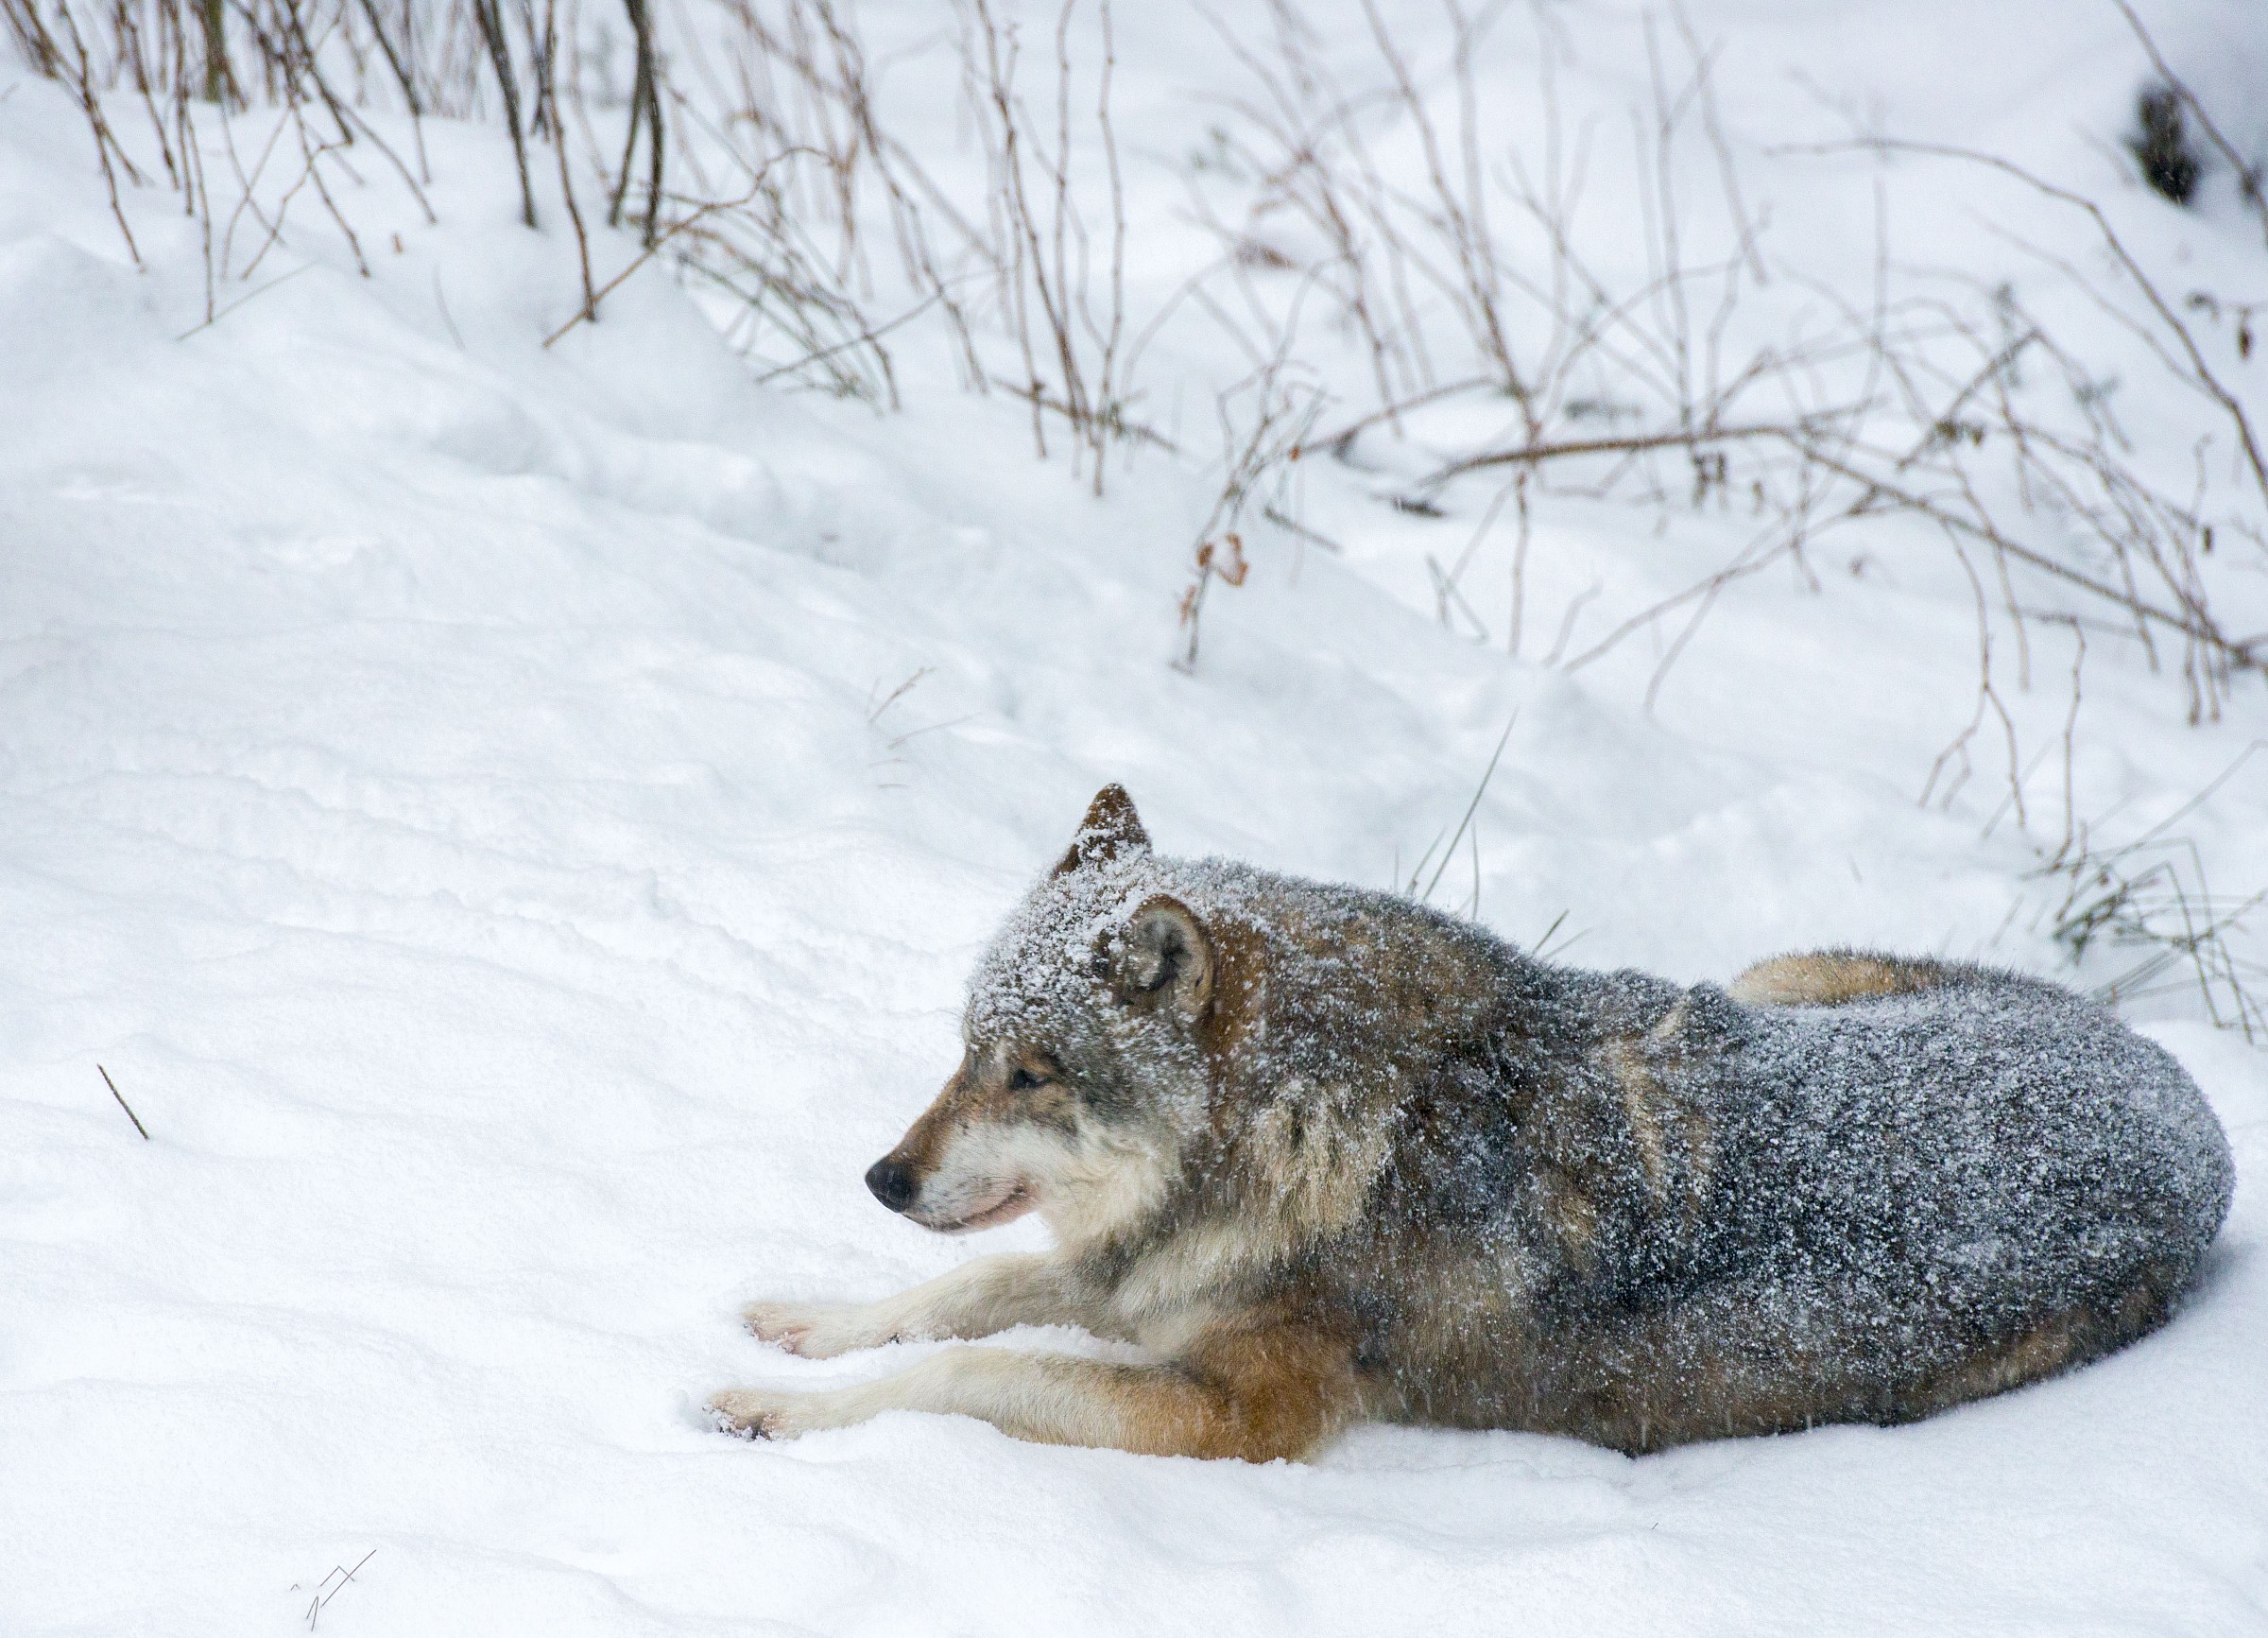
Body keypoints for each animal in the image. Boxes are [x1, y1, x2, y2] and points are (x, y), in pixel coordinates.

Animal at [710, 786, 2234, 1460]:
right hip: (1766, 977)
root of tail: (2198, 1113)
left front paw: (780, 1411)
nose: (882, 1176)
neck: (1324, 1133)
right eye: (965, 1052)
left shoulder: (1237, 1413)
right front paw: (807, 1322)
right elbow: (966, 1292)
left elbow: (971, 1364)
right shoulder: (1139, 1272)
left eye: (1033, 1072)